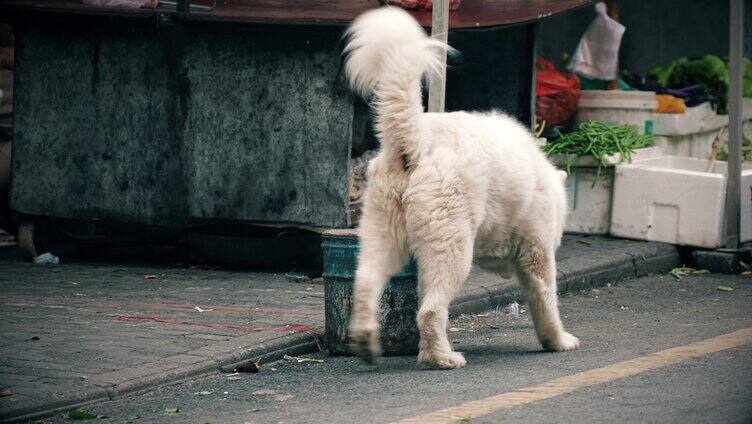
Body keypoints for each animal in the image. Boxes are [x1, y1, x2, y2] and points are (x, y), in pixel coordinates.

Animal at [344, 7, 580, 372]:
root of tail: (415, 143)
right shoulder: (536, 251)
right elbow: (546, 299)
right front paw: (558, 341)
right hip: (452, 245)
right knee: (430, 309)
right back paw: (441, 358)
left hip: (384, 232)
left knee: (367, 282)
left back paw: (367, 342)